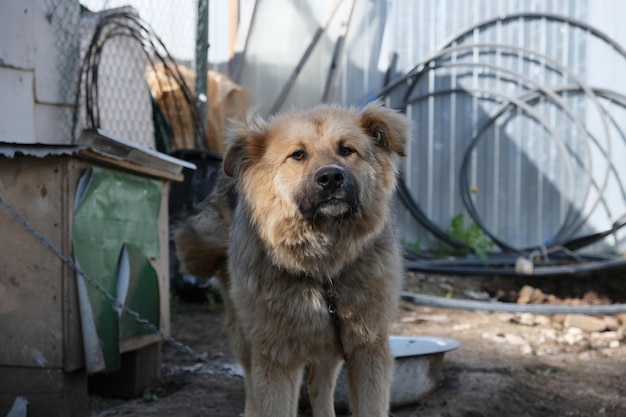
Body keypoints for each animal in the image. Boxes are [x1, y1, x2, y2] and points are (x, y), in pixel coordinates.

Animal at [176, 101, 410, 416]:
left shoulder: (368, 348)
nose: (331, 177)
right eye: (298, 155)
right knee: (251, 383)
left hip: (329, 343)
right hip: (245, 335)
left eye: (347, 150)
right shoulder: (276, 356)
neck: (322, 266)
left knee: (319, 385)